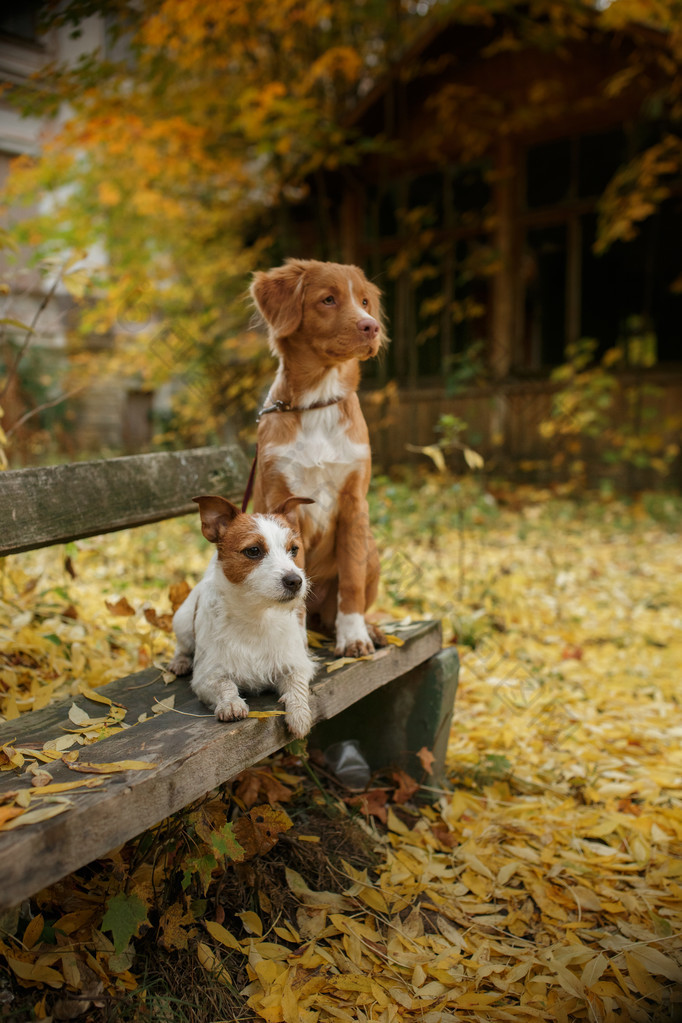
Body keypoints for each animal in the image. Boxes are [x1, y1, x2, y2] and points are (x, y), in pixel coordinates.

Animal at [171, 493, 319, 736]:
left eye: (294, 550)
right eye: (253, 551)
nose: (295, 581)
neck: (256, 616)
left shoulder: (296, 663)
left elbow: (296, 685)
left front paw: (299, 713)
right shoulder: (206, 675)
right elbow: (224, 683)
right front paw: (231, 703)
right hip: (181, 621)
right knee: (182, 646)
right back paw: (180, 661)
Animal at [250, 255, 388, 654]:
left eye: (364, 301)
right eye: (328, 299)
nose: (371, 326)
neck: (318, 403)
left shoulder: (355, 502)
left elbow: (351, 583)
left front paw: (354, 636)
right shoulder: (284, 501)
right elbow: (291, 587)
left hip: (371, 547)